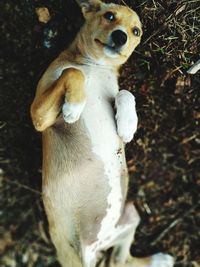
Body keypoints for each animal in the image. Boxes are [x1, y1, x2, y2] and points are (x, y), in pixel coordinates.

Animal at [30, 0, 175, 267]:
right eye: (109, 16)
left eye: (136, 31)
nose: (120, 36)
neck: (95, 67)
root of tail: (95, 247)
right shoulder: (39, 116)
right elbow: (72, 73)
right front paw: (75, 106)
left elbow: (125, 92)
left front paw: (127, 125)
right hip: (76, 256)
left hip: (131, 214)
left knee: (121, 259)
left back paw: (158, 260)